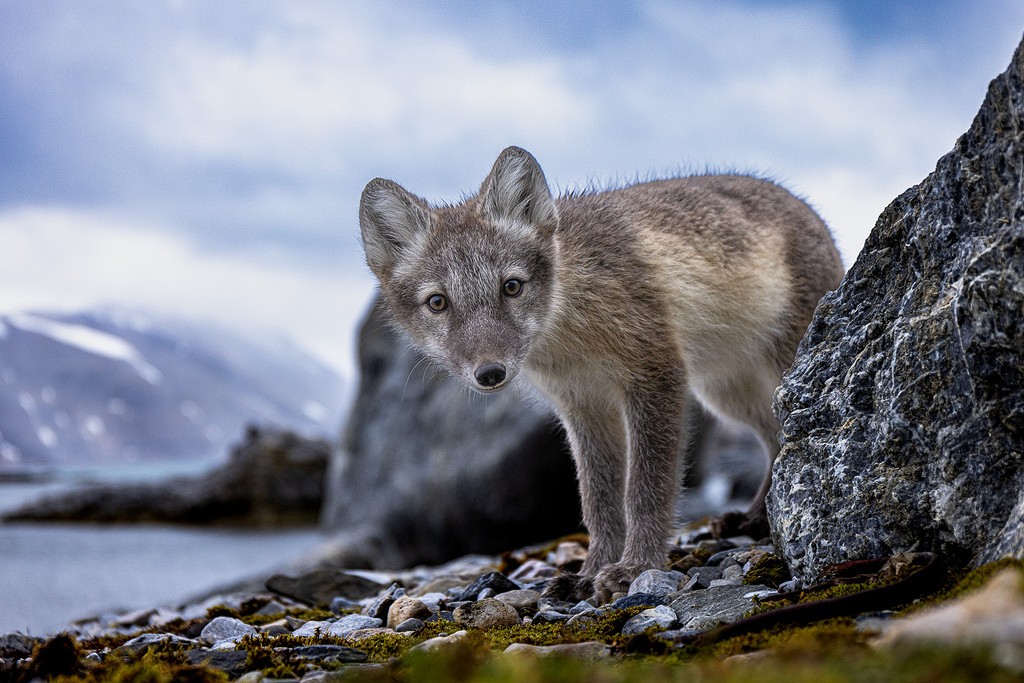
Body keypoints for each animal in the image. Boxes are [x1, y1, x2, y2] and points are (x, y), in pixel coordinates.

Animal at [358, 146, 843, 602]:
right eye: (438, 302)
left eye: (511, 286)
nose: (490, 373)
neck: (570, 328)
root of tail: (811, 212)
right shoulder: (583, 408)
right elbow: (599, 499)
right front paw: (589, 574)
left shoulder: (656, 376)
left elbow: (645, 489)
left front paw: (636, 568)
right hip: (727, 394)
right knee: (776, 441)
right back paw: (757, 517)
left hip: (778, 378)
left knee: (783, 442)